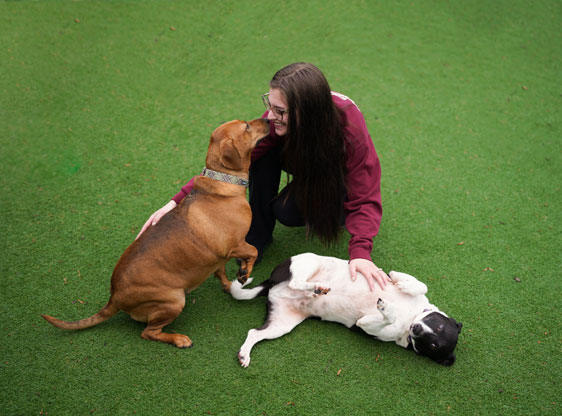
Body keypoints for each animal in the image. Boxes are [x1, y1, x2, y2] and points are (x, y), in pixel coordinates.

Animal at [40, 118, 268, 348]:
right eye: (247, 126)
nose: (268, 119)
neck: (221, 182)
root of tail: (114, 297)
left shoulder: (220, 255)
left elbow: (221, 271)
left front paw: (234, 281)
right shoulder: (236, 245)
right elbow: (254, 250)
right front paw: (245, 271)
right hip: (174, 301)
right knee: (148, 333)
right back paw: (178, 339)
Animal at [228, 254, 460, 368]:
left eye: (433, 345)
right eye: (439, 324)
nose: (417, 328)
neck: (409, 316)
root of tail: (272, 283)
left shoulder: (367, 327)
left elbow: (382, 320)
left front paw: (387, 309)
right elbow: (420, 285)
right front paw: (403, 287)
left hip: (282, 324)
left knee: (254, 333)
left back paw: (244, 354)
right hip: (309, 262)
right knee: (296, 281)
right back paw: (317, 287)